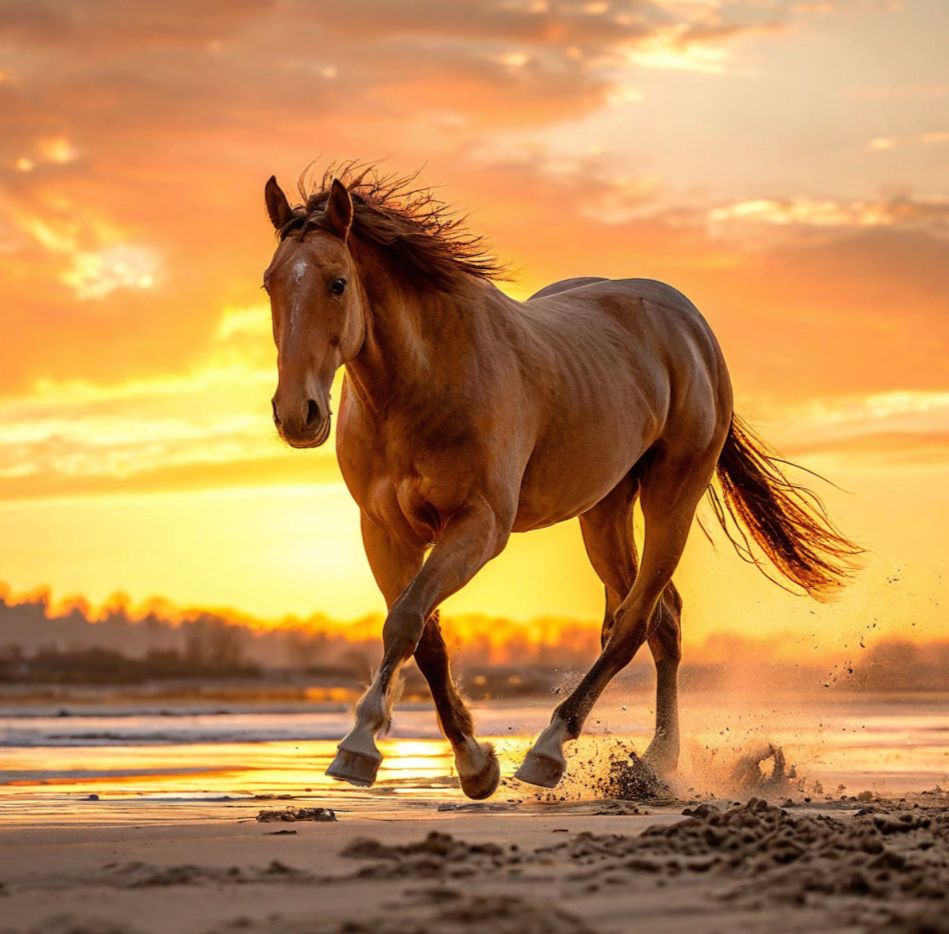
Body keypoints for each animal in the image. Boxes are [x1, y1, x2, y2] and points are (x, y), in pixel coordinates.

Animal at [262, 165, 860, 800]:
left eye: (337, 283)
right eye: (270, 284)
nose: (297, 415)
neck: (423, 381)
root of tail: (690, 325)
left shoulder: (479, 525)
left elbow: (404, 621)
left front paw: (358, 746)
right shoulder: (385, 533)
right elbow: (424, 636)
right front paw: (474, 765)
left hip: (672, 495)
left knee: (637, 621)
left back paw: (559, 751)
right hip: (604, 510)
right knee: (662, 618)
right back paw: (654, 760)